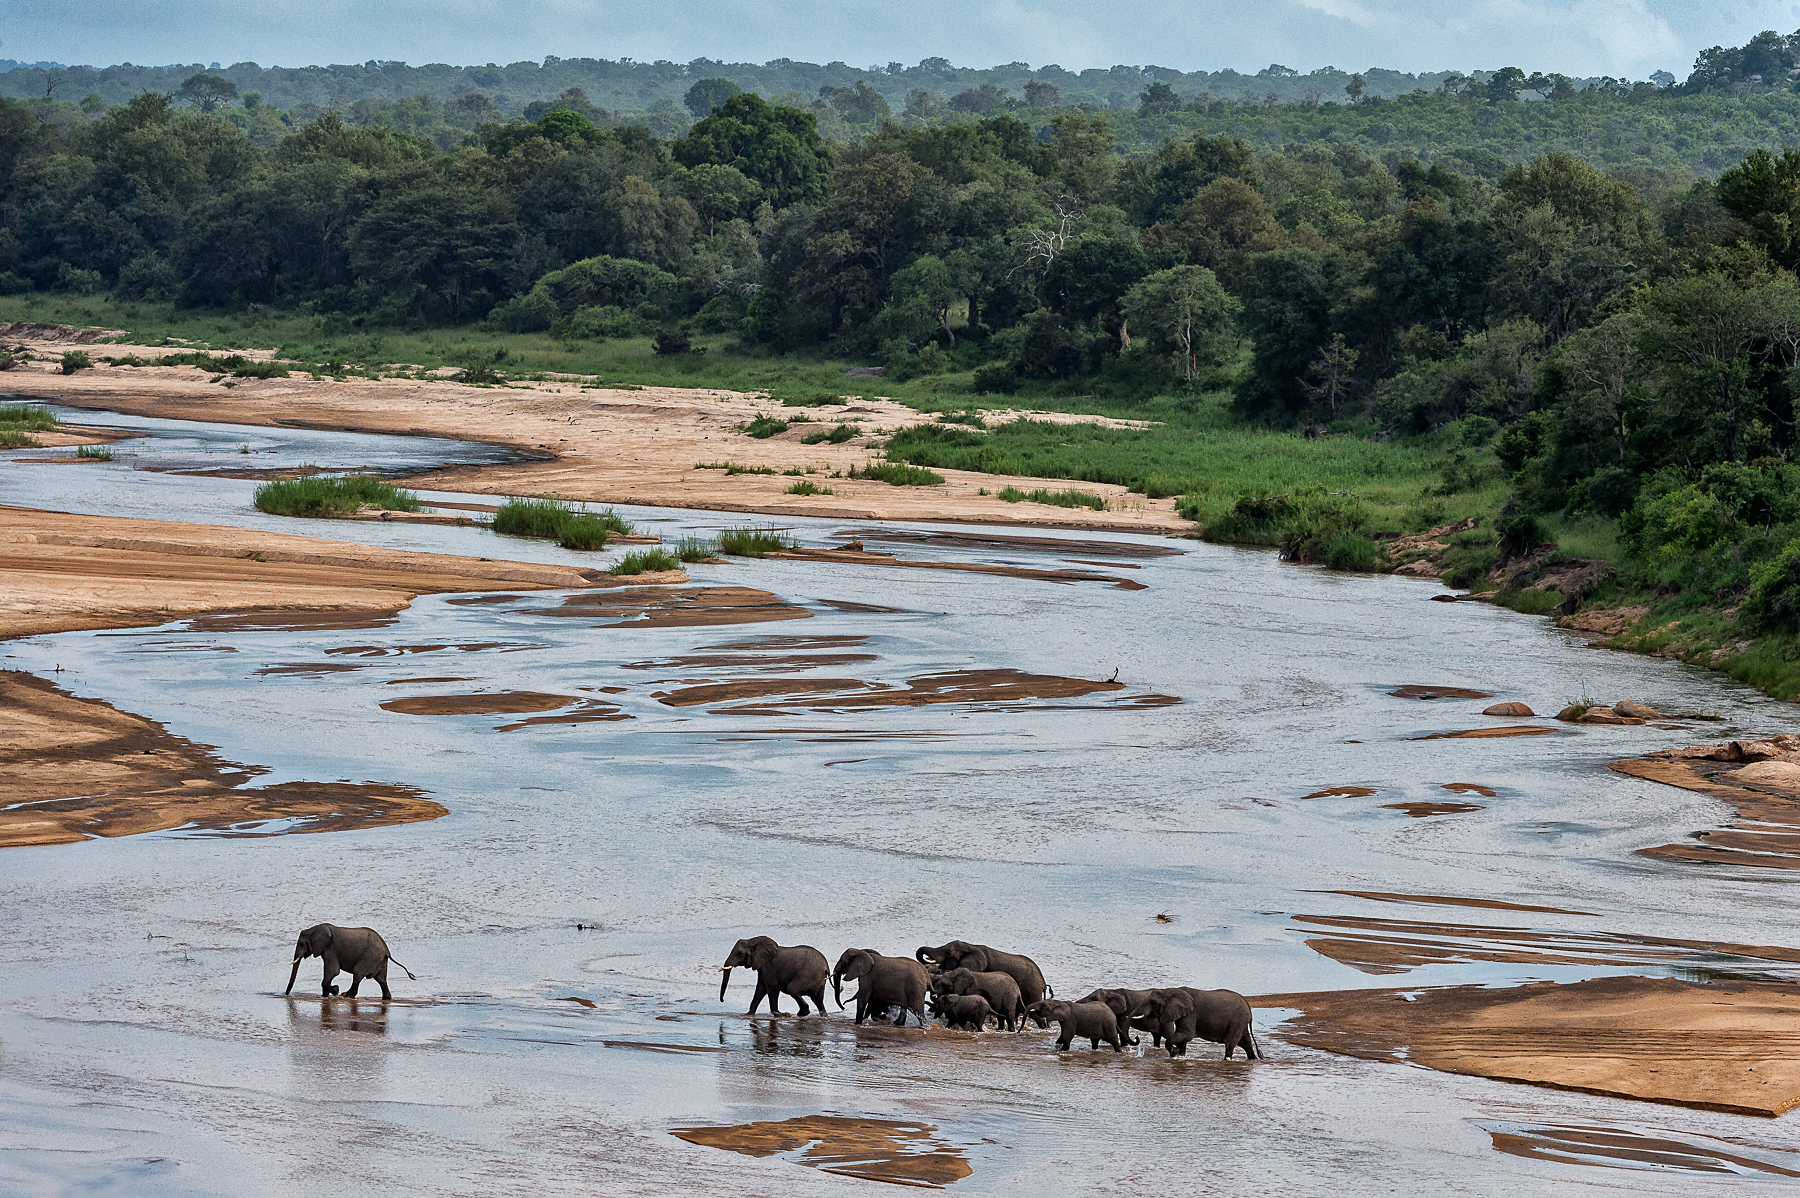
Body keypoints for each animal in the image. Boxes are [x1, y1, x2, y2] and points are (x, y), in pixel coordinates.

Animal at [285, 923, 414, 1000]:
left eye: (301, 944)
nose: (286, 995)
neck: (314, 929)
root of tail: (387, 950)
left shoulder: (329, 948)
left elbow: (333, 971)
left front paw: (335, 990)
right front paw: (324, 996)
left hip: (370, 956)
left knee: (358, 973)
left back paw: (346, 995)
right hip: (380, 959)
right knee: (381, 979)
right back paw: (386, 998)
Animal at [1127, 987, 1260, 1059]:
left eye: (1153, 1002)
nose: (1137, 1037)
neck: (1172, 990)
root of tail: (1248, 1006)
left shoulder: (1191, 1013)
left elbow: (1186, 1034)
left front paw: (1174, 1052)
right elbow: (1183, 1037)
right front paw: (1179, 1054)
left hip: (1237, 1020)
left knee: (1230, 1043)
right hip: (1241, 1021)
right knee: (1246, 1043)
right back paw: (1253, 1059)